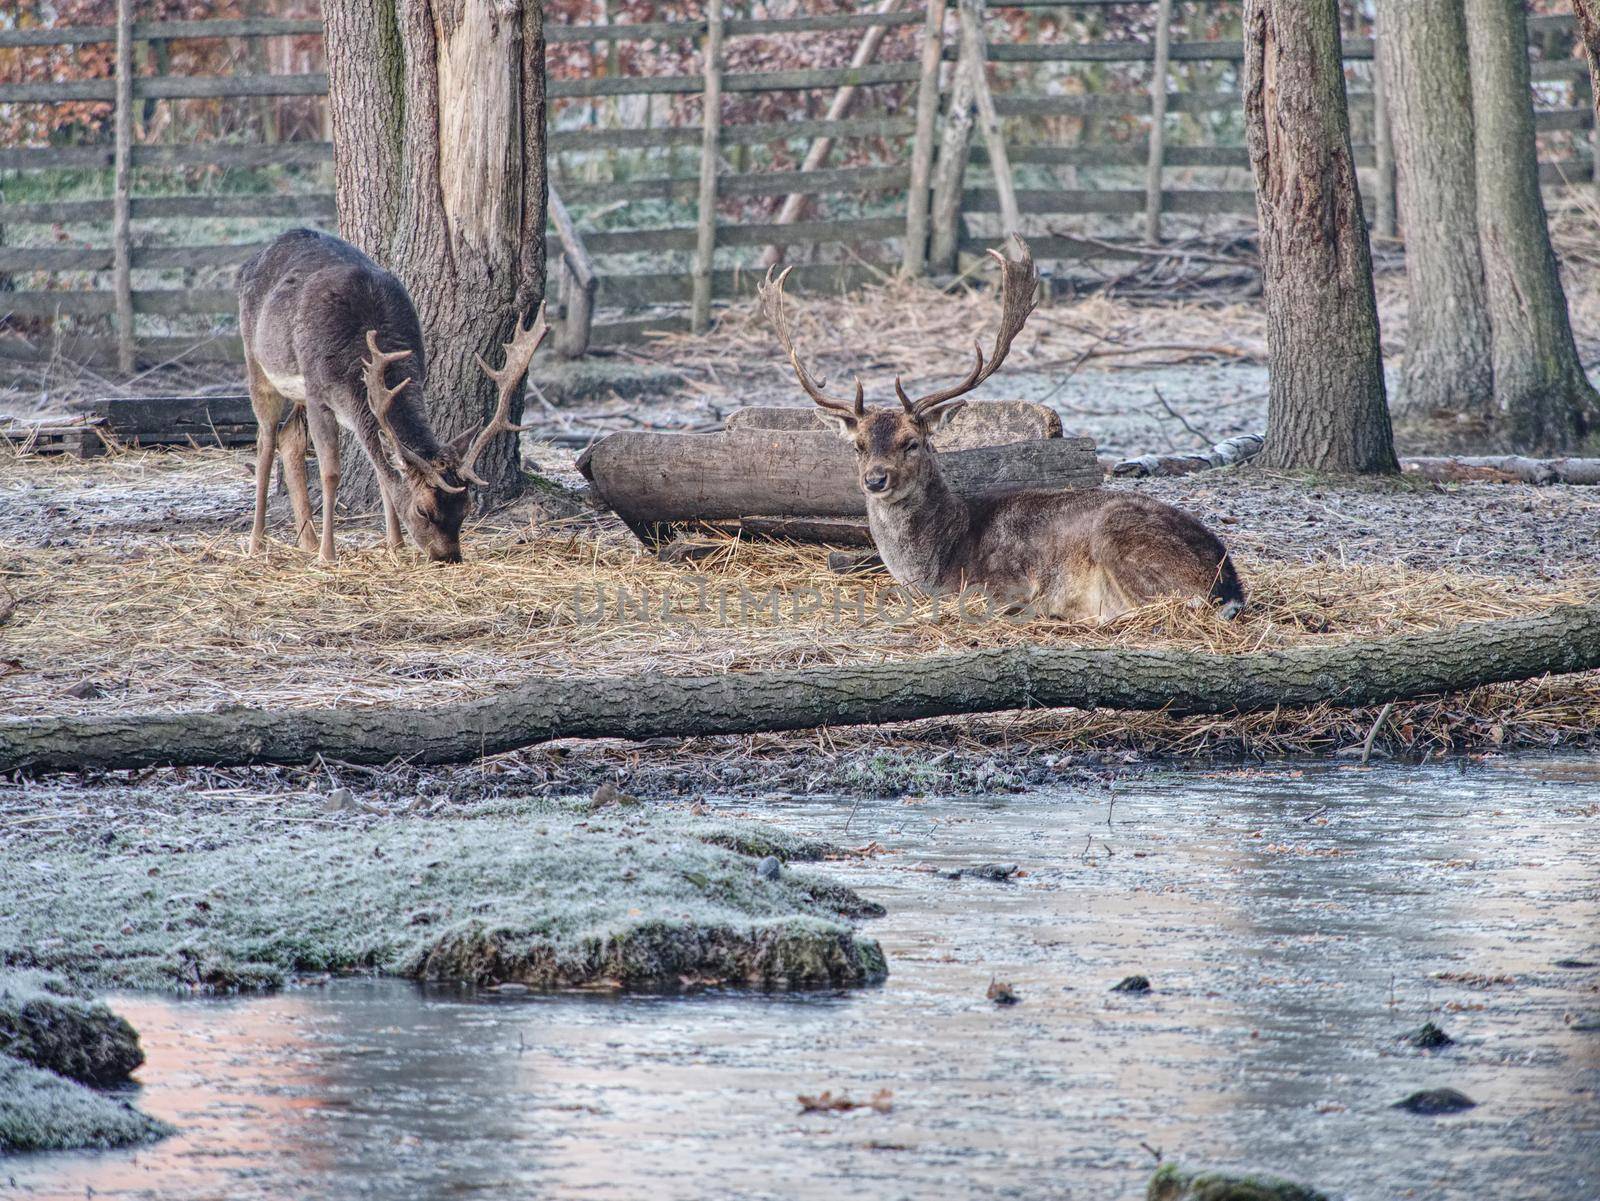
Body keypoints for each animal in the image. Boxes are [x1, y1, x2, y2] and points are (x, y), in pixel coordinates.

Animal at [233, 231, 540, 569]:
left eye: (466, 508)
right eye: (423, 511)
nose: (449, 557)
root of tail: (253, 259)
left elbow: (383, 470)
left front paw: (395, 545)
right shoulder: (318, 393)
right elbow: (331, 472)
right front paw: (329, 555)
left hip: (295, 392)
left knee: (289, 439)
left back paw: (307, 542)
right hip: (257, 361)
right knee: (265, 442)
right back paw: (257, 543)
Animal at [755, 239, 1241, 623]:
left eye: (912, 443)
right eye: (858, 446)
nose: (876, 480)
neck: (935, 563)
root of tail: (1229, 582)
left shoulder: (1002, 580)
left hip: (1118, 537)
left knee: (1160, 607)